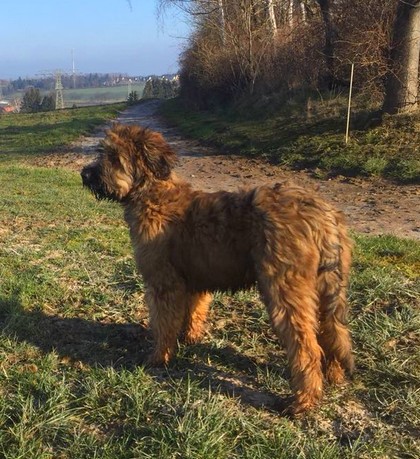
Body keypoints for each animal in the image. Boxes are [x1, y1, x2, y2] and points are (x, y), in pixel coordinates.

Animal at [81, 123, 354, 414]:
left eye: (113, 157)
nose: (84, 174)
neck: (154, 193)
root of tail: (322, 214)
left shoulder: (163, 282)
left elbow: (163, 323)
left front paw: (159, 357)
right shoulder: (195, 278)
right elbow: (193, 310)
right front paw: (189, 338)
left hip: (285, 290)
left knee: (307, 346)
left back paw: (304, 400)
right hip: (326, 288)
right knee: (330, 333)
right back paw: (333, 376)